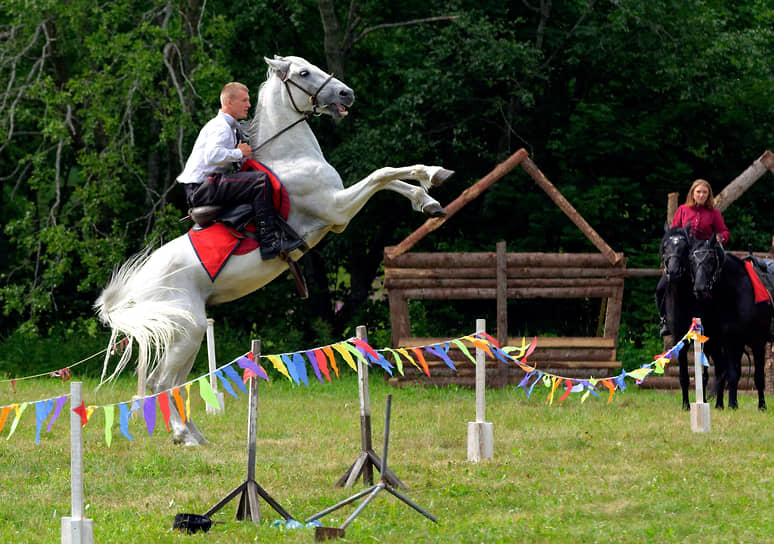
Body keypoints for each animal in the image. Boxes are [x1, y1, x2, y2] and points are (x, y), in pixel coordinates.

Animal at [94, 55, 452, 446]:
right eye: (303, 73)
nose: (347, 93)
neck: (291, 155)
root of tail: (139, 286)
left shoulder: (340, 204)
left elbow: (391, 179)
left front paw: (429, 197)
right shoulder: (338, 210)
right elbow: (382, 174)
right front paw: (432, 175)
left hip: (183, 333)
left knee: (171, 382)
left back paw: (195, 435)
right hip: (187, 331)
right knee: (162, 381)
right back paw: (184, 436)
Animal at [656, 224, 712, 408]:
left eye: (684, 248)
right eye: (666, 246)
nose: (673, 272)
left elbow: (703, 373)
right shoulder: (678, 338)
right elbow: (683, 376)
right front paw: (686, 405)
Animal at [692, 236, 768, 410]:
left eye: (711, 260)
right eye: (692, 261)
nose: (699, 289)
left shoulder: (758, 342)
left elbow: (758, 377)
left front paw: (761, 406)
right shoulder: (731, 342)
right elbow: (732, 374)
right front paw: (732, 404)